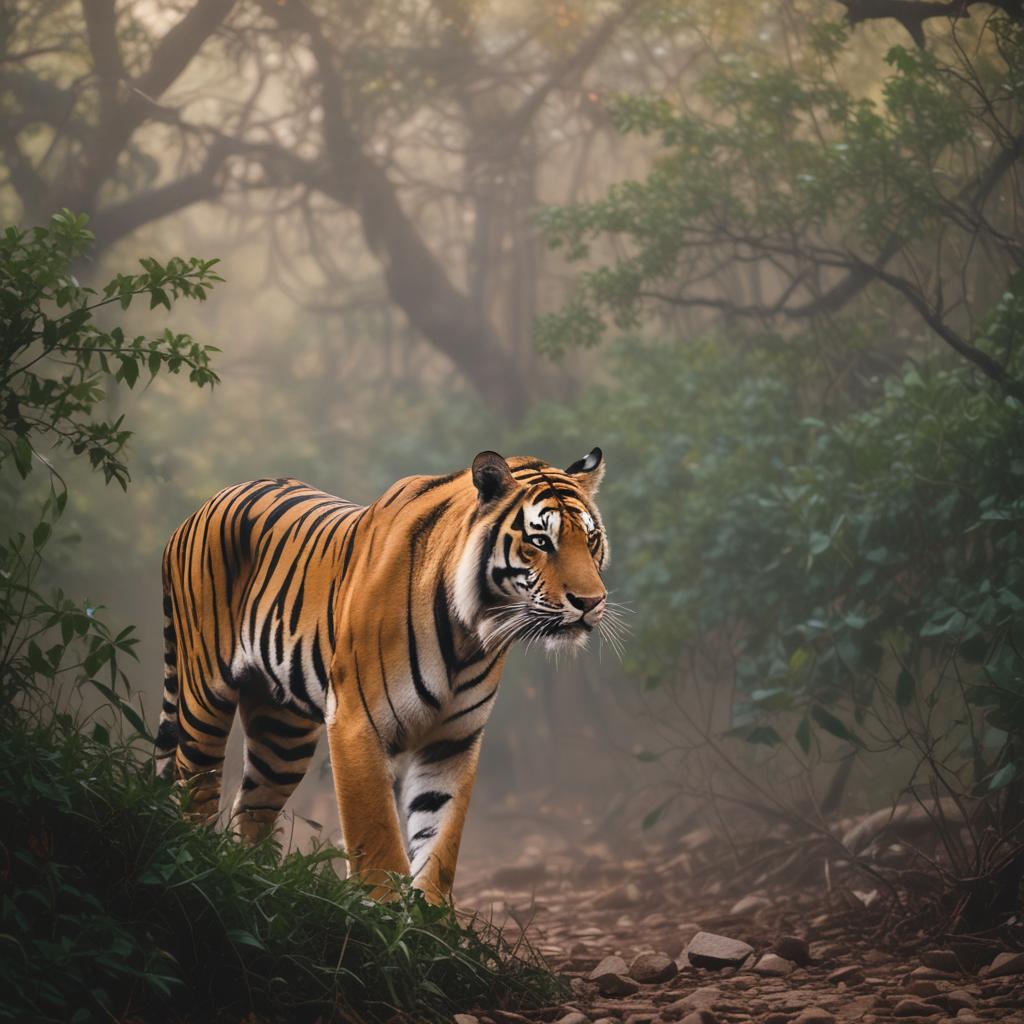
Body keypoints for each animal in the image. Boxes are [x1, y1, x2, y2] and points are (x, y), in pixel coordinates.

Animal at [154, 448, 609, 902]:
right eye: (540, 541)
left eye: (590, 540)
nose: (590, 602)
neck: (467, 635)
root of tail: (194, 513)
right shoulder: (357, 722)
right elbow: (377, 840)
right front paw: (385, 909)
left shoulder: (453, 739)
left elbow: (440, 843)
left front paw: (430, 918)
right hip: (204, 700)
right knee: (193, 788)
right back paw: (198, 871)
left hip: (282, 734)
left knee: (251, 810)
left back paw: (255, 885)